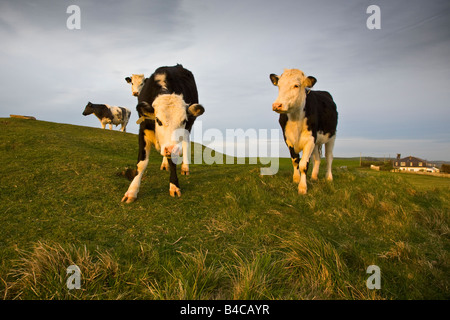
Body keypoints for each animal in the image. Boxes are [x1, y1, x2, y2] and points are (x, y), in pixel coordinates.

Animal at [120, 63, 203, 202]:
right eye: (158, 120)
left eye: (183, 120)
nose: (171, 148)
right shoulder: (143, 129)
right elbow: (141, 164)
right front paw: (131, 191)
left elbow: (174, 159)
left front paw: (174, 186)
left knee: (185, 143)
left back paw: (185, 167)